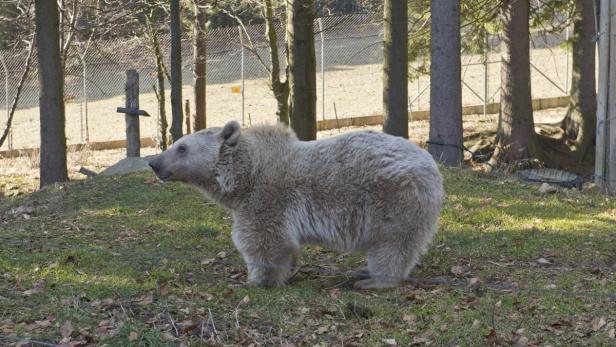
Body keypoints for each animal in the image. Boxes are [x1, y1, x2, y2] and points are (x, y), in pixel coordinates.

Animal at [152, 121, 446, 290]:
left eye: (181, 147)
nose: (154, 162)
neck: (246, 174)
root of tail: (432, 166)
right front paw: (288, 271)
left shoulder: (266, 197)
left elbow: (263, 240)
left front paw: (256, 281)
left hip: (395, 197)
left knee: (392, 245)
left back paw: (373, 281)